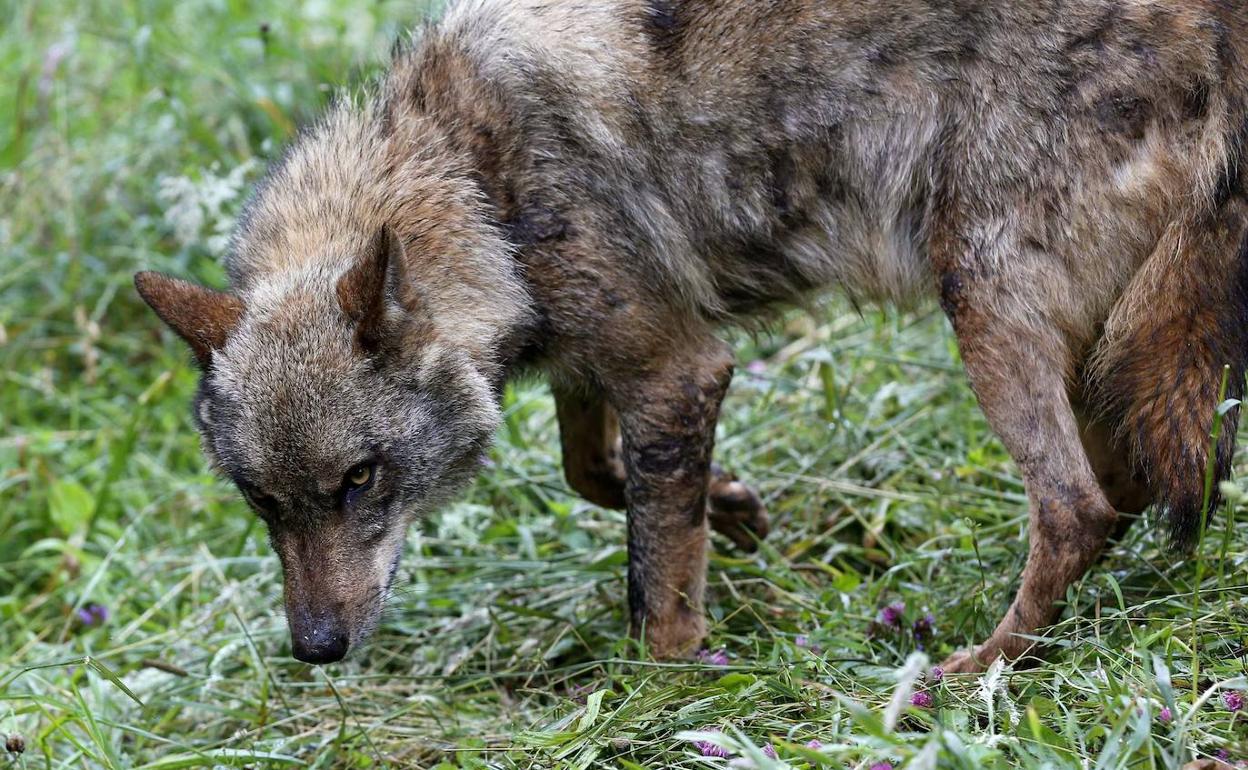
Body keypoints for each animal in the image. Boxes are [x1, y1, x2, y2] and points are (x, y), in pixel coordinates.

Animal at [136, 0, 1248, 670]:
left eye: (359, 480)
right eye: (261, 500)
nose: (317, 648)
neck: (472, 177)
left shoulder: (676, 369)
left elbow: (651, 575)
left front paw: (666, 685)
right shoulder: (594, 359)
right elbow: (597, 473)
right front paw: (738, 510)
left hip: (984, 308)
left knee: (1078, 508)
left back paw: (976, 669)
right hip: (1103, 352)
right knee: (1142, 483)